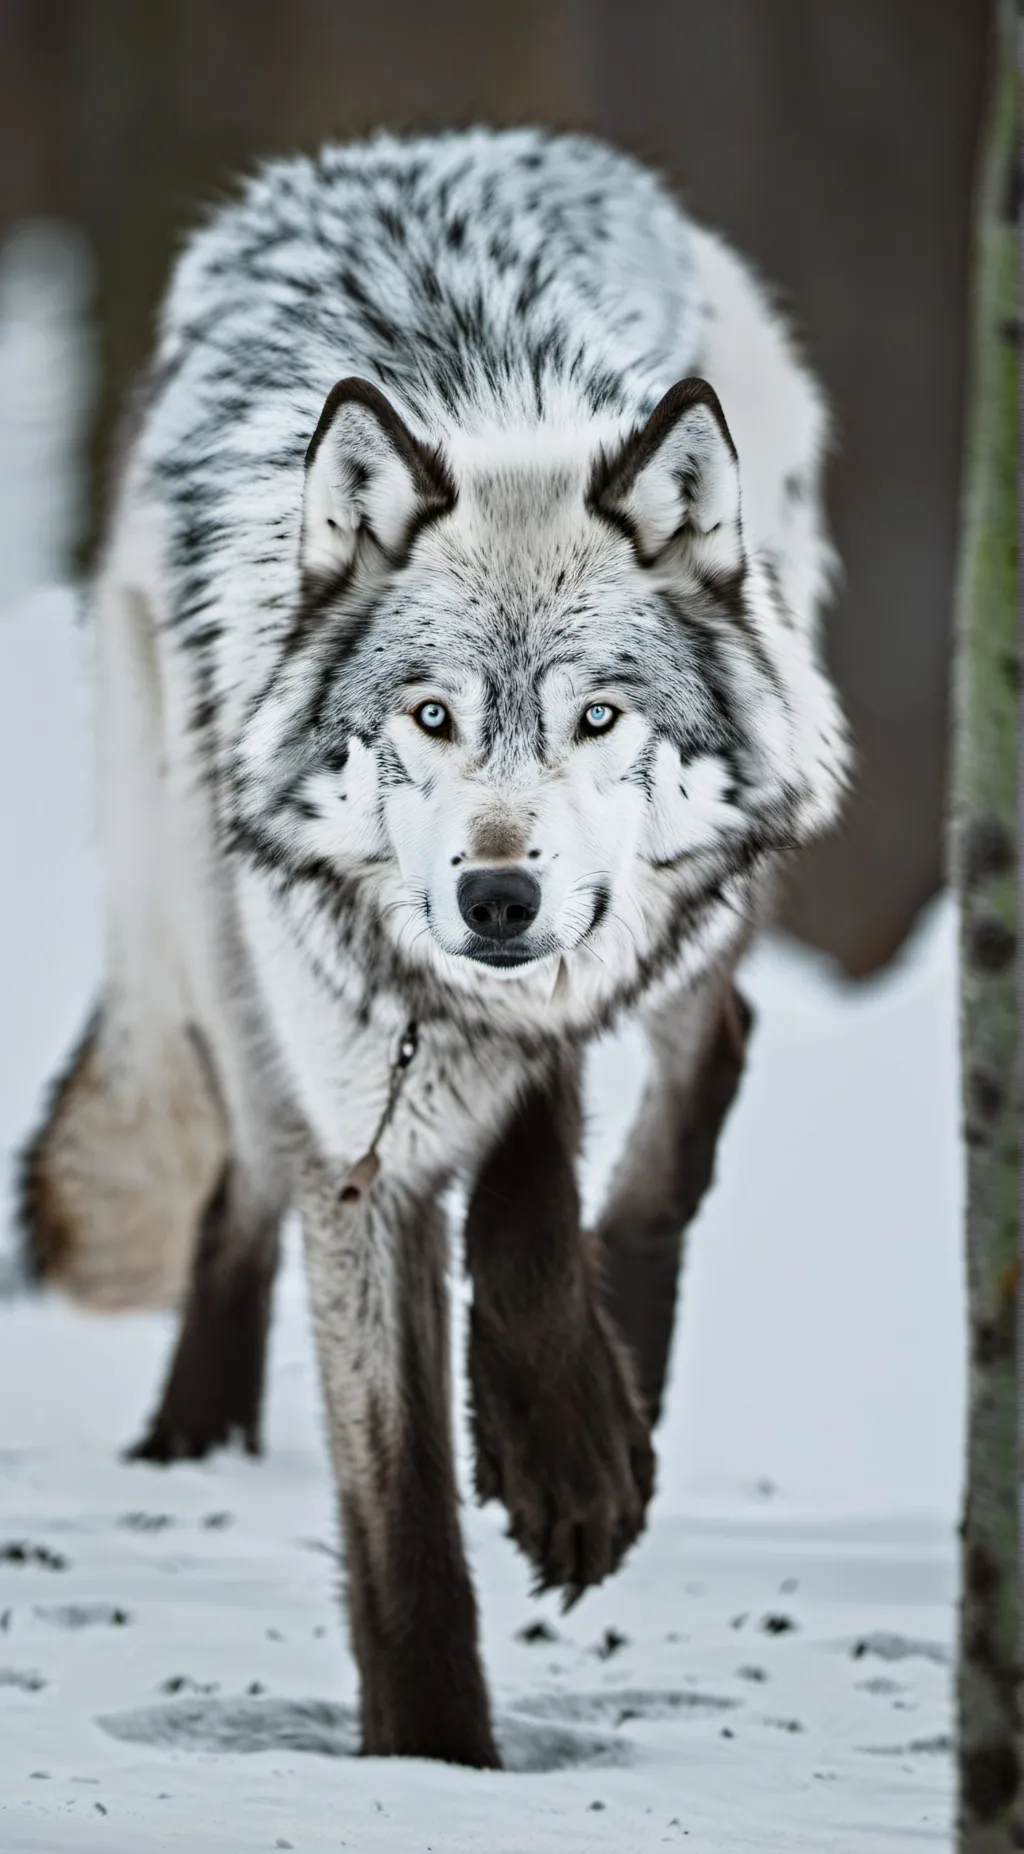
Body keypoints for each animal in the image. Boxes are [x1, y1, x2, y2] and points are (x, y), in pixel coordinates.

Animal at [21, 129, 848, 1767]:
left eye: (598, 715)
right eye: (430, 715)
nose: (496, 900)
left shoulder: (537, 1005)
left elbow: (533, 1182)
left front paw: (572, 1461)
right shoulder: (362, 1127)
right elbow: (397, 1518)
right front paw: (432, 1759)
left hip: (693, 907)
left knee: (698, 1052)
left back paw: (628, 1340)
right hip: (199, 918)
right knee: (244, 1168)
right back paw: (191, 1438)